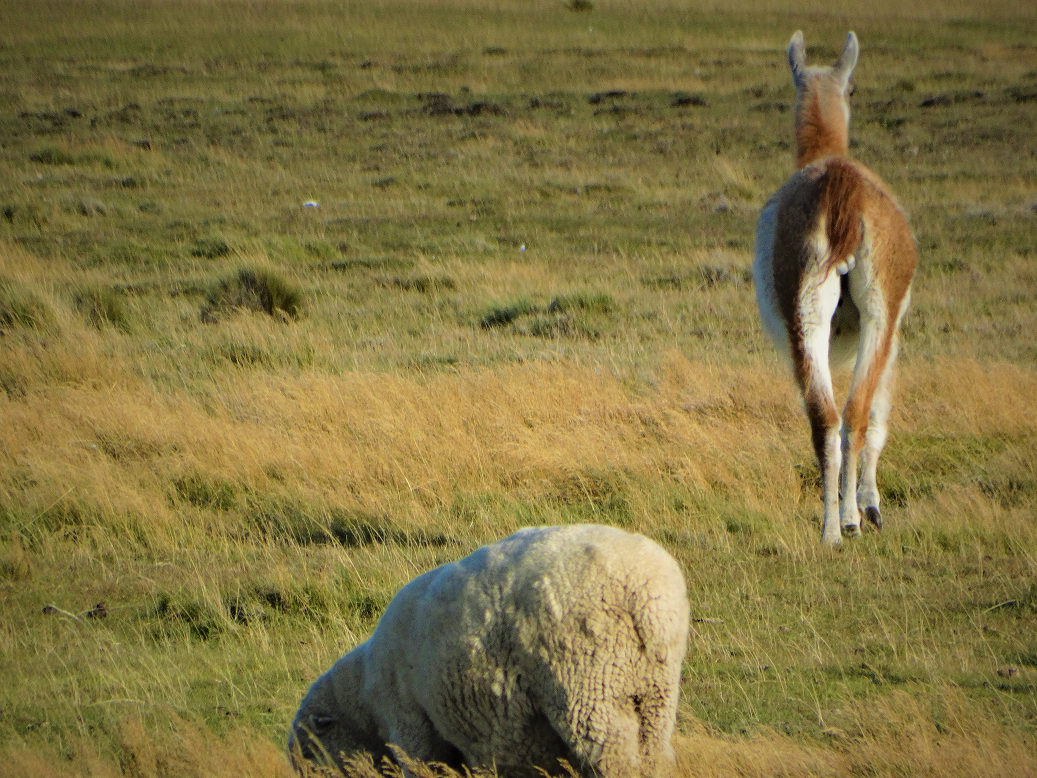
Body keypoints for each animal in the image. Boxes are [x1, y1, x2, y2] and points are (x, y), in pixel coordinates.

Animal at [288, 524, 688, 778]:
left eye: (311, 754)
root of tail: (644, 591)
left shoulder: (412, 725)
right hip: (655, 690)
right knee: (653, 757)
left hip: (590, 683)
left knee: (617, 761)